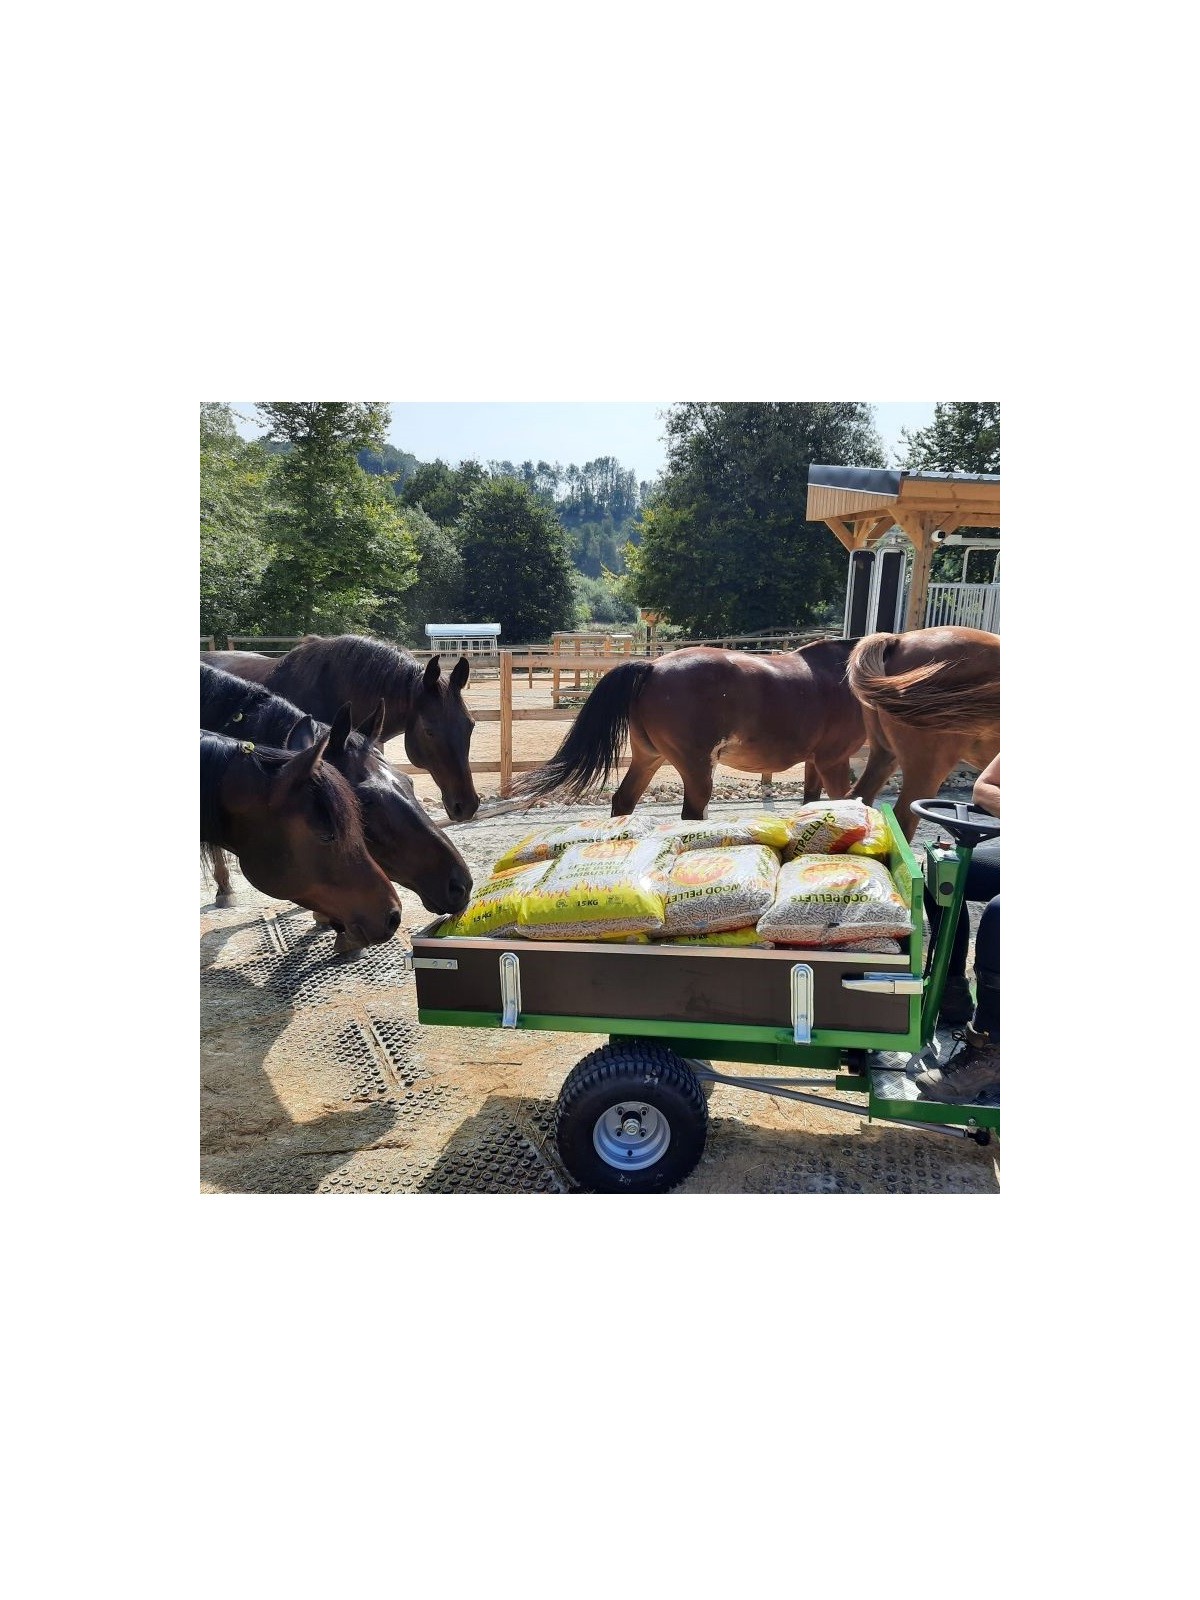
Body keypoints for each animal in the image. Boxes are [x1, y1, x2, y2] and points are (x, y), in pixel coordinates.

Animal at [514, 639, 869, 820]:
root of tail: (652, 666)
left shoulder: (815, 762)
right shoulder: (833, 761)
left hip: (649, 758)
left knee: (623, 800)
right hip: (696, 769)